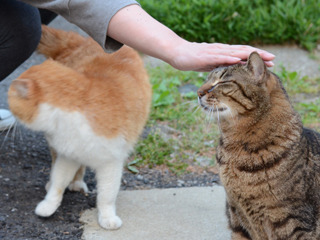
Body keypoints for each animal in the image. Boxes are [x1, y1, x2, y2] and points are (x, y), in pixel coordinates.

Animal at [7, 25, 152, 230]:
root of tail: (84, 39)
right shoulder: (68, 154)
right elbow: (58, 181)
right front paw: (48, 205)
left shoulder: (111, 162)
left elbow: (107, 195)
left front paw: (107, 217)